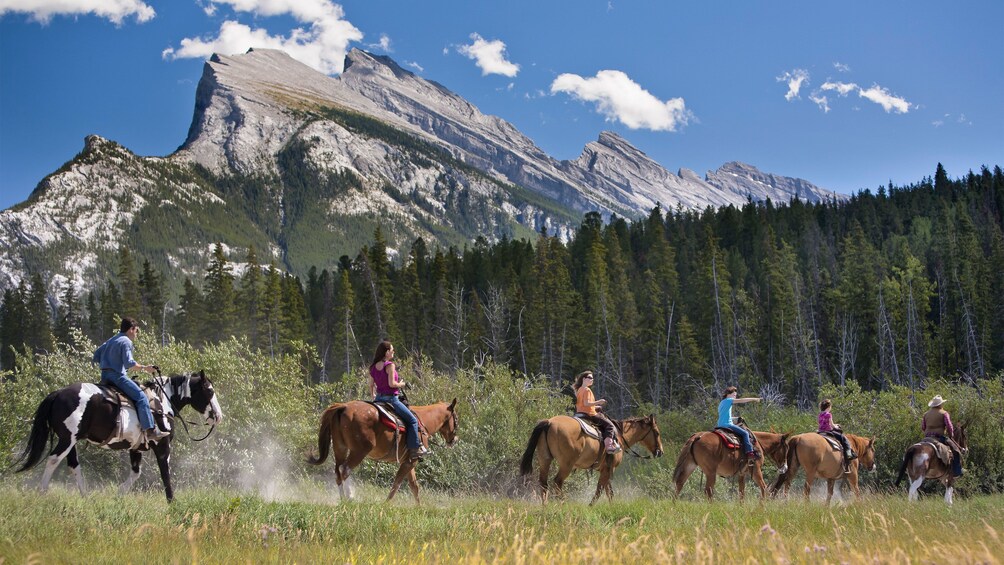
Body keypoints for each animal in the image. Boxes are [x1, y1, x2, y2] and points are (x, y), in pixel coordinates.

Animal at [14, 373, 221, 501]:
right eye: (209, 391)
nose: (218, 416)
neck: (162, 402)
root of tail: (57, 394)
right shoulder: (162, 446)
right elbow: (166, 475)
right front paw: (172, 502)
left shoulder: (136, 448)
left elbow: (136, 473)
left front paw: (119, 495)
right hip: (67, 439)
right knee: (53, 459)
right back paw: (42, 492)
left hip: (71, 441)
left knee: (73, 465)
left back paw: (86, 497)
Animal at [305, 397, 459, 503]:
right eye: (456, 418)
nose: (454, 439)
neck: (423, 421)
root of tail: (343, 407)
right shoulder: (411, 461)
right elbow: (397, 484)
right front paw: (386, 504)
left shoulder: (409, 460)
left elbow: (414, 486)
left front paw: (419, 507)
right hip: (359, 451)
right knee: (345, 469)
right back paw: (350, 497)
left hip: (340, 448)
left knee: (338, 471)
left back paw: (343, 499)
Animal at [518, 415, 666, 503]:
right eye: (657, 433)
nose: (660, 452)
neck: (619, 436)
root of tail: (549, 422)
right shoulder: (609, 469)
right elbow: (600, 490)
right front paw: (590, 506)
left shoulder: (605, 469)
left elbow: (609, 491)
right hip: (566, 465)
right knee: (557, 482)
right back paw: (564, 503)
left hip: (545, 460)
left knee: (544, 483)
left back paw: (545, 505)